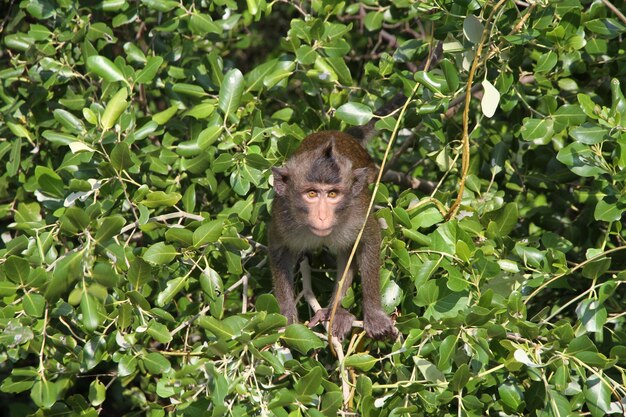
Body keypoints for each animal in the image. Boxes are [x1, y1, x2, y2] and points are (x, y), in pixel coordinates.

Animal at [266, 129, 394, 338]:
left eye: (332, 194)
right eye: (311, 193)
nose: (323, 216)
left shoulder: (358, 212)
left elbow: (369, 240)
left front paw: (375, 315)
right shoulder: (282, 217)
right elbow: (279, 248)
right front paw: (286, 314)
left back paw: (335, 311)